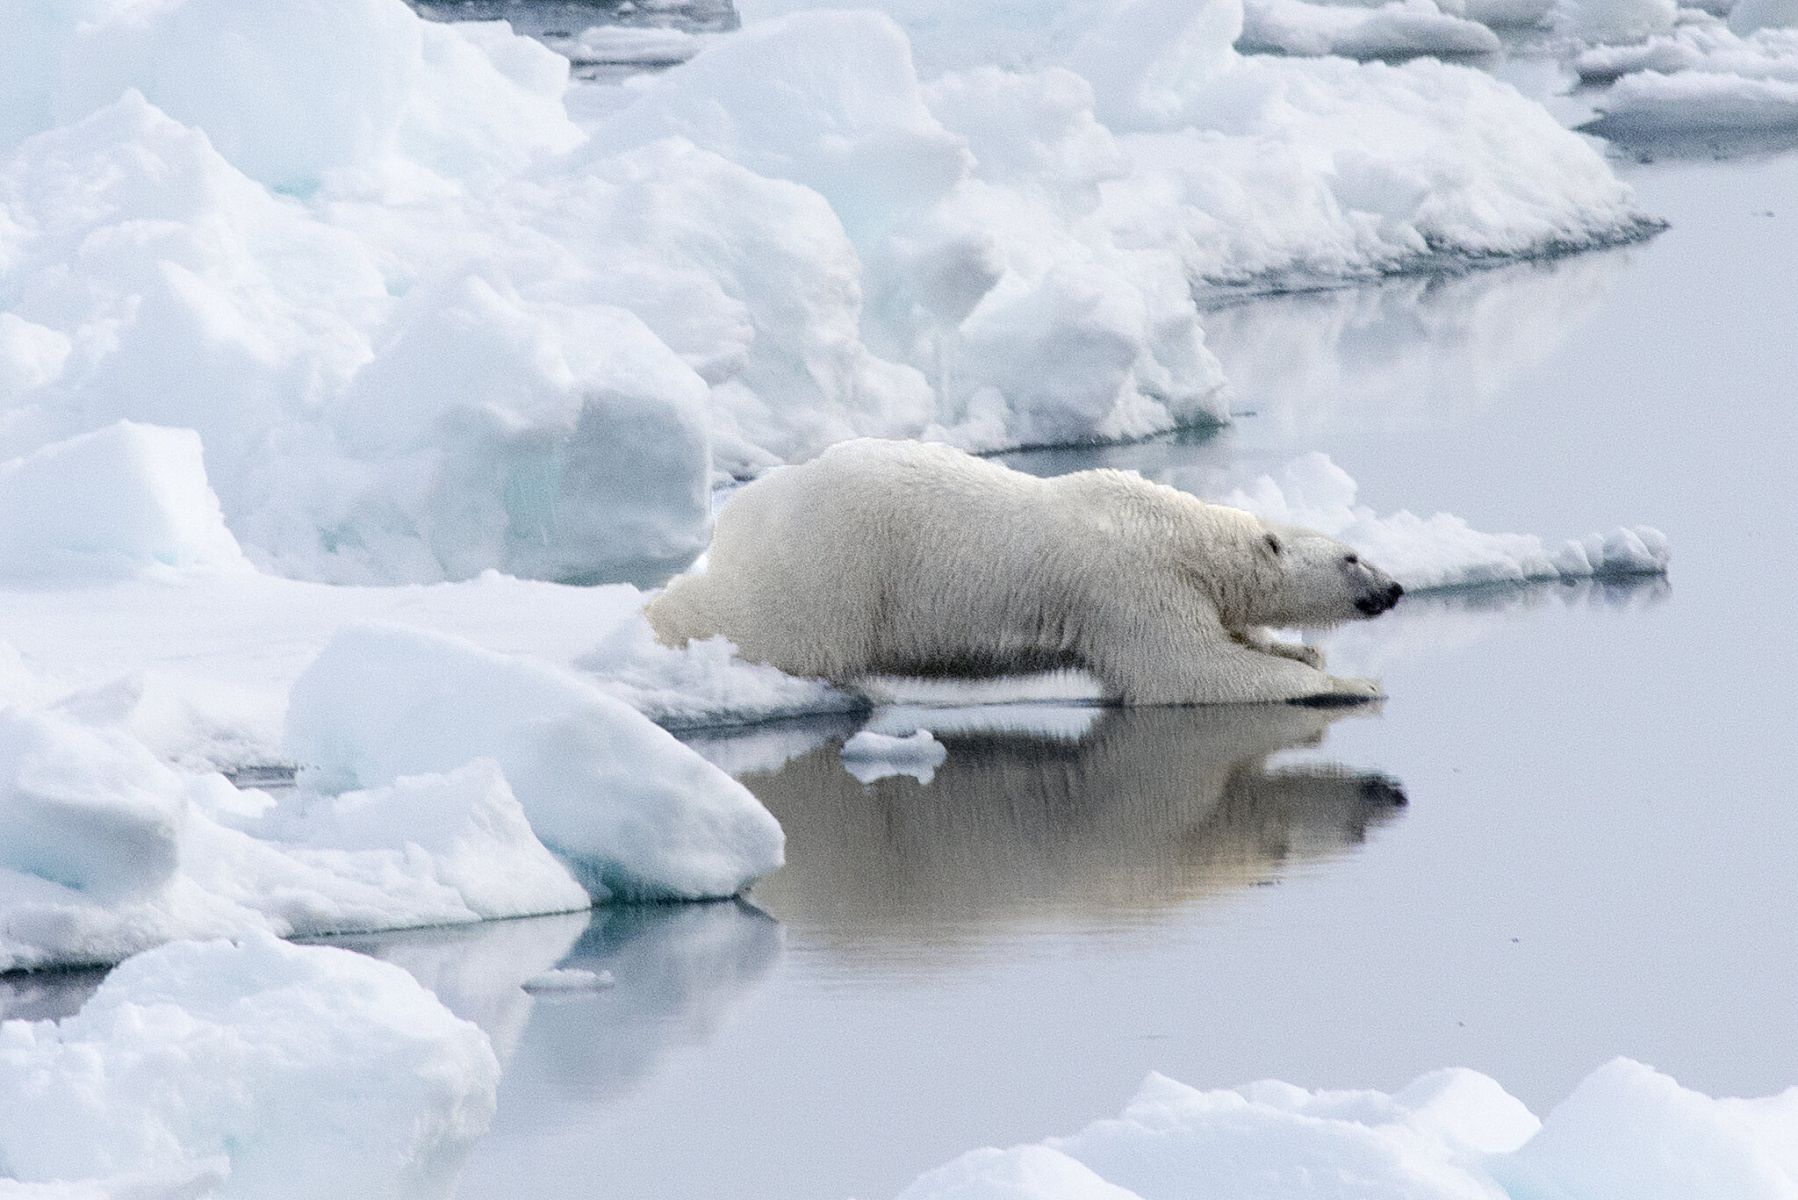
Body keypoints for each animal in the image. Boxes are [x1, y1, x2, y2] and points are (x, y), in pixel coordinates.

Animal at [647, 438, 1402, 705]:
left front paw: (1302, 651)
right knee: (759, 624)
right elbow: (1185, 669)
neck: (1178, 534)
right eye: (1352, 556)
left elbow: (1225, 640)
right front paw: (1352, 682)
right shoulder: (1129, 587)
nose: (1394, 589)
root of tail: (743, 508)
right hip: (827, 569)